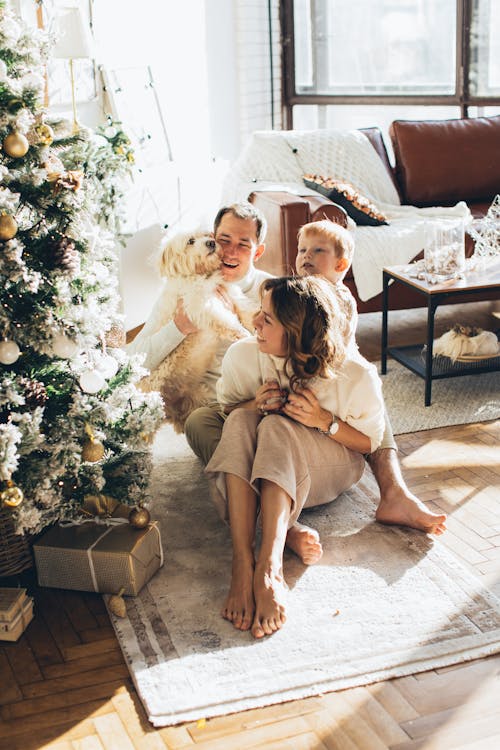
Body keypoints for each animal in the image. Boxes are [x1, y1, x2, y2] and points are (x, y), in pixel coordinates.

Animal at [139, 229, 252, 432]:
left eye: (208, 235)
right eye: (190, 241)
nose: (211, 243)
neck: (201, 274)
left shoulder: (230, 294)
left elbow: (247, 311)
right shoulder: (199, 306)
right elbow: (224, 320)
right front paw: (240, 333)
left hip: (196, 396)